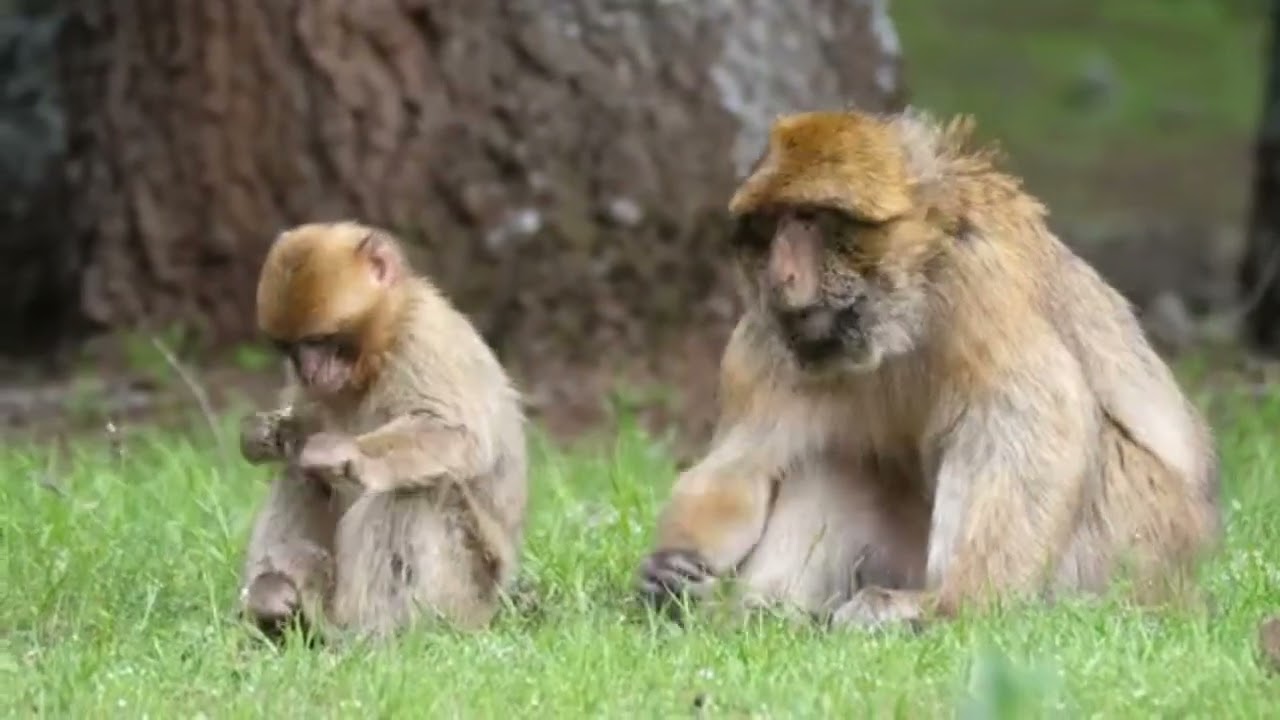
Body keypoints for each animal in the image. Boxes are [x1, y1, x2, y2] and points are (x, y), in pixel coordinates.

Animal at [236, 220, 528, 639]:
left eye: (319, 341)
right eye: (290, 347)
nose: (309, 371)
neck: (377, 352)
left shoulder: (423, 340)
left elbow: (458, 435)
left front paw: (345, 453)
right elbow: (298, 435)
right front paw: (266, 434)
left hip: (466, 590)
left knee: (416, 489)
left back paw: (370, 633)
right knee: (300, 476)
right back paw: (274, 599)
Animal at [635, 109, 1221, 630]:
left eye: (811, 220)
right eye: (767, 228)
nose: (783, 278)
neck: (897, 325)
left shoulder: (980, 286)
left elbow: (1031, 424)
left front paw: (954, 605)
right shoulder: (766, 338)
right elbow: (745, 464)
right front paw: (674, 570)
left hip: (1126, 554)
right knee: (834, 461)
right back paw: (765, 613)